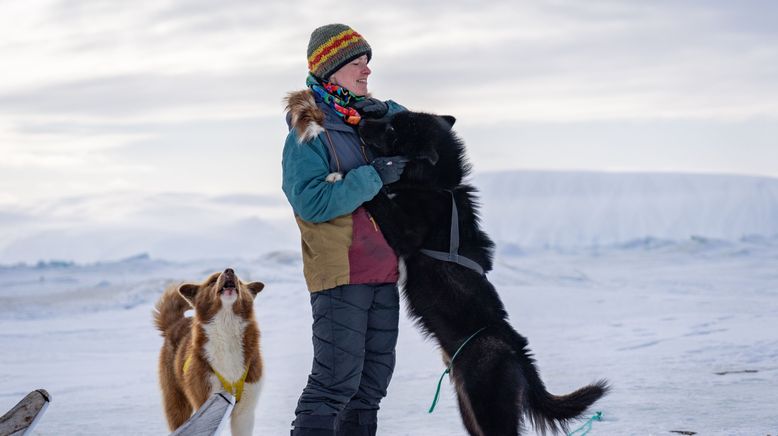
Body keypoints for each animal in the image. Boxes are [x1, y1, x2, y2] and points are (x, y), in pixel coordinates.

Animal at [153, 268, 266, 434]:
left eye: (239, 280)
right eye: (212, 280)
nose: (230, 270)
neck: (226, 328)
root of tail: (175, 324)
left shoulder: (244, 412)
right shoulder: (208, 398)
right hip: (177, 404)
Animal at [358, 113, 608, 436]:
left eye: (391, 129)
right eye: (390, 117)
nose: (361, 118)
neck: (436, 185)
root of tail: (514, 347)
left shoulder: (408, 233)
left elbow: (380, 198)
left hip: (489, 408)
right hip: (469, 410)